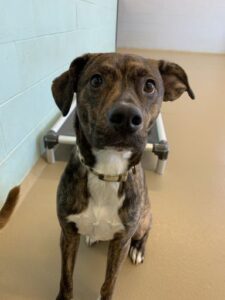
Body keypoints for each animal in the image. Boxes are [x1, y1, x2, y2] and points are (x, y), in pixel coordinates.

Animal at [51, 52, 194, 298]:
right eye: (96, 80)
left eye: (150, 85)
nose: (126, 116)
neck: (107, 171)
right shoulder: (68, 233)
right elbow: (66, 278)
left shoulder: (121, 241)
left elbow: (109, 282)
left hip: (144, 220)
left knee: (145, 232)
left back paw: (138, 250)